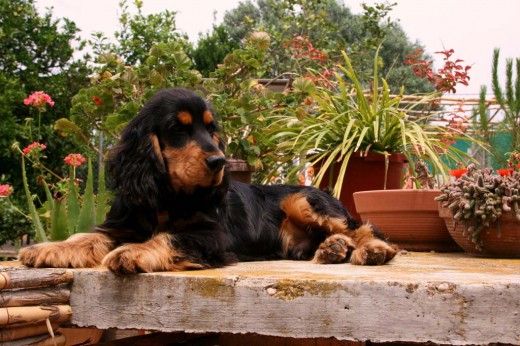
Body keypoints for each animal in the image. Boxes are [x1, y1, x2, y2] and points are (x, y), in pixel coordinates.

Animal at [17, 87, 398, 274]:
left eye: (211, 129)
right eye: (178, 128)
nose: (219, 161)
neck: (167, 195)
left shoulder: (213, 235)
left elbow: (170, 236)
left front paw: (133, 253)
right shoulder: (122, 224)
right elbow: (86, 235)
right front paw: (48, 249)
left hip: (303, 200)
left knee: (365, 229)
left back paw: (373, 250)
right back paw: (333, 249)